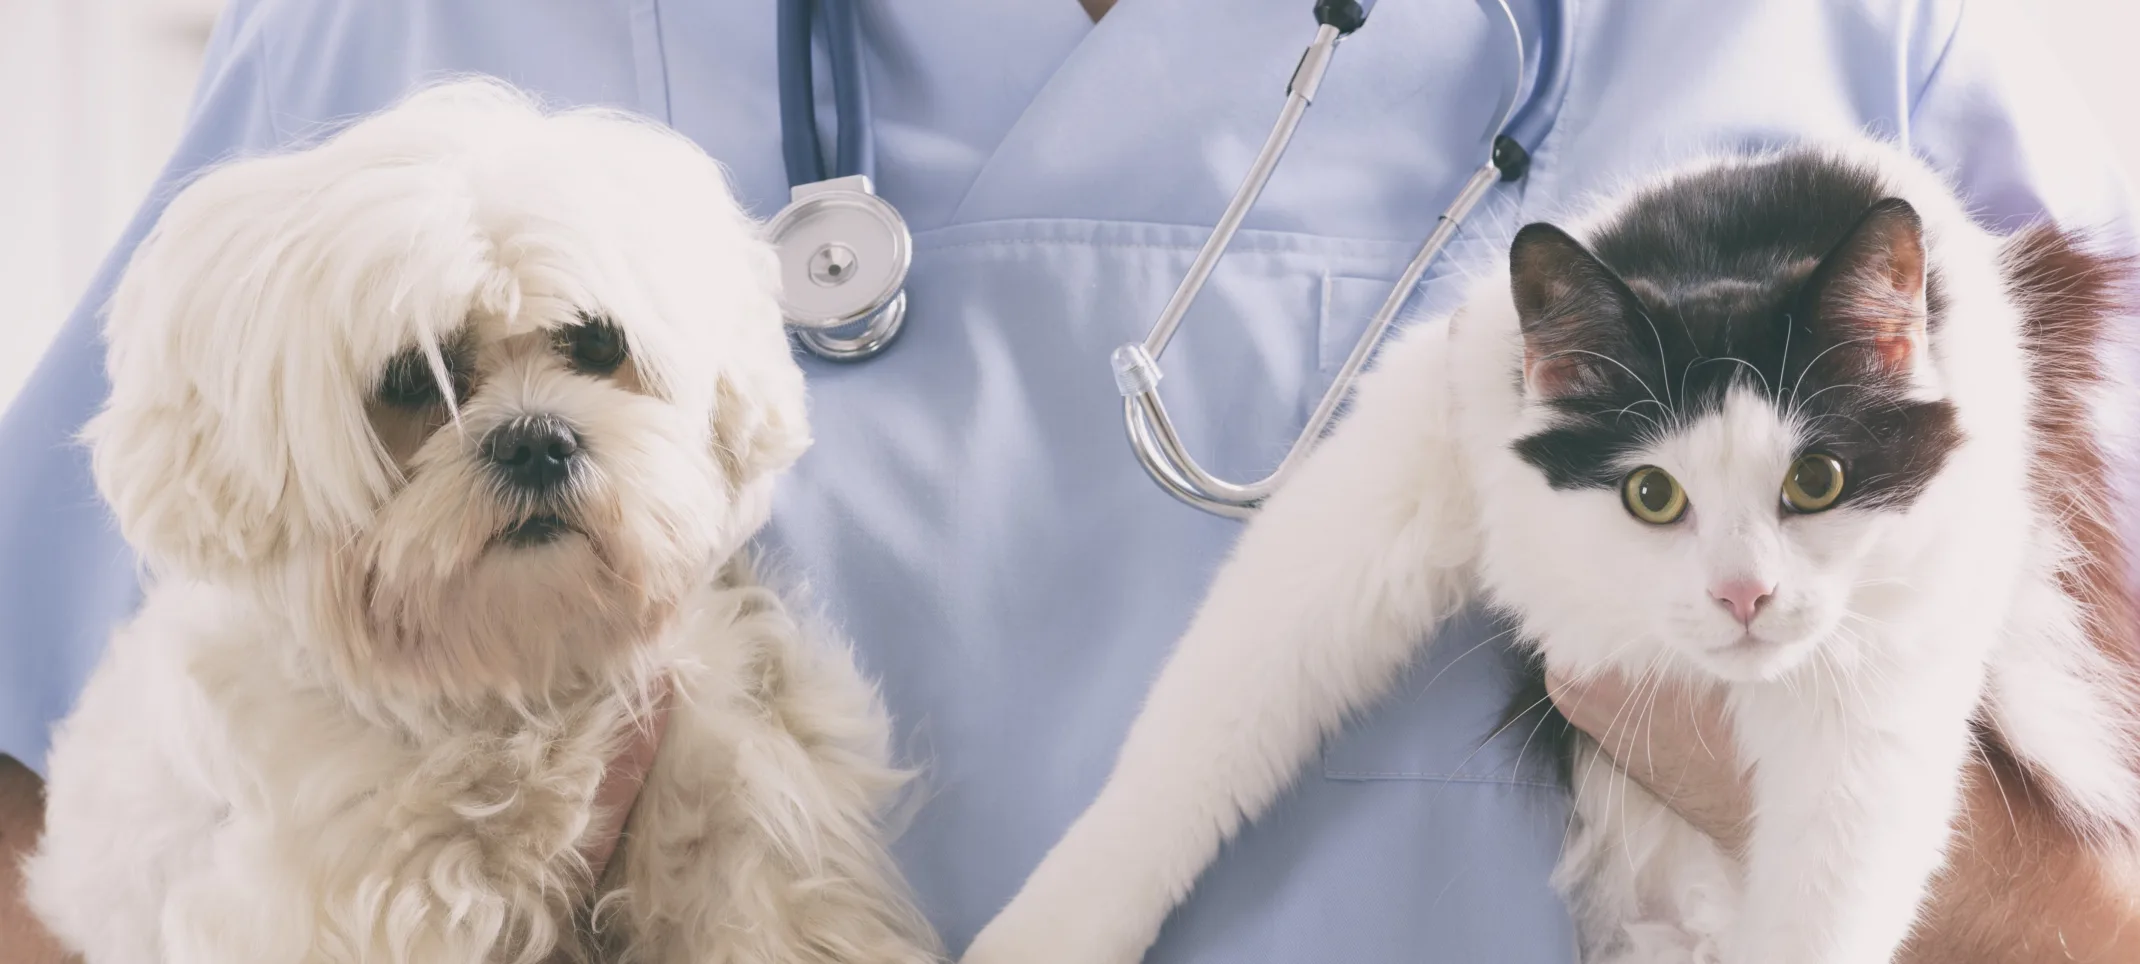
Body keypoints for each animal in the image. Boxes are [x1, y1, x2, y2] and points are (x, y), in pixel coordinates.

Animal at [967, 143, 2140, 964]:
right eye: (1651, 494)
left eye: (1817, 483)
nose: (1745, 596)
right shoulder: (1417, 458)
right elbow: (1201, 731)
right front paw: (1045, 934)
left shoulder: (1877, 695)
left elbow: (1830, 895)